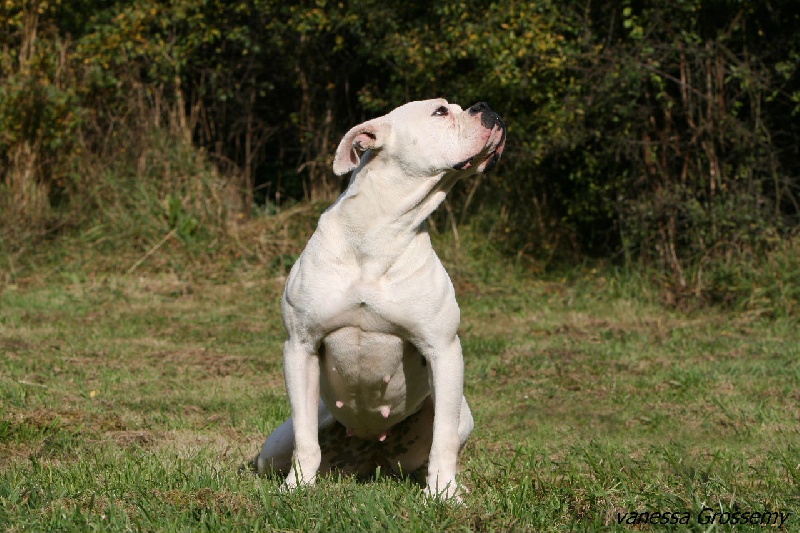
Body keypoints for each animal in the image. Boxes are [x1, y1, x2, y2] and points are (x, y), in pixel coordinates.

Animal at [255, 98, 506, 498]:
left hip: (461, 416)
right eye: (440, 111)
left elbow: (443, 440)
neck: (380, 232)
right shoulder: (300, 346)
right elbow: (305, 437)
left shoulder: (444, 348)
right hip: (273, 448)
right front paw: (297, 487)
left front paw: (444, 496)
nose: (488, 108)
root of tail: (372, 455)